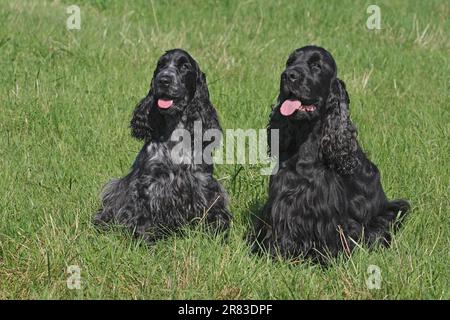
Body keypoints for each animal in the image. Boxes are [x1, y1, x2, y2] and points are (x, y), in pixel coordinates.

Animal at [92, 48, 230, 241]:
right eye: (161, 65)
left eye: (184, 66)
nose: (163, 79)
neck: (176, 134)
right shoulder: (148, 183)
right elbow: (144, 213)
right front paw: (145, 239)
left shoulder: (203, 181)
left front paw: (217, 234)